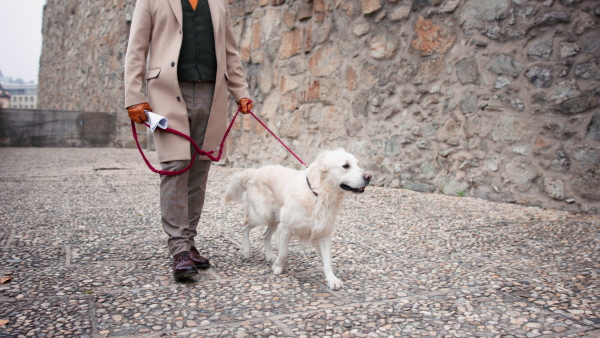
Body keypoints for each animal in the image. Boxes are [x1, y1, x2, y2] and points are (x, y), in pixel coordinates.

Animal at [223, 149, 368, 290]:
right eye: (346, 166)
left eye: (358, 164)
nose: (369, 177)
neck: (318, 195)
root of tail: (256, 170)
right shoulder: (286, 228)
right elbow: (283, 252)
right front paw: (278, 267)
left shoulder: (324, 232)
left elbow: (328, 260)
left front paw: (332, 280)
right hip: (263, 214)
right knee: (245, 226)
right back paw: (246, 250)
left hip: (274, 219)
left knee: (265, 235)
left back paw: (269, 255)